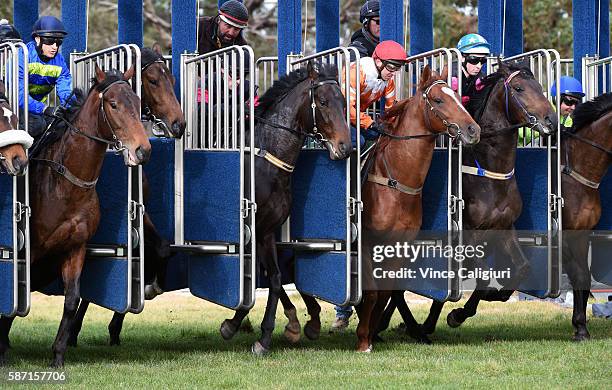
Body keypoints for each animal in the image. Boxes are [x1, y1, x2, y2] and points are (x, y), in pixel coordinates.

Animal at [0, 65, 152, 368]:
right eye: (113, 104)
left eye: (137, 102)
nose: (143, 149)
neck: (66, 185)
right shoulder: (31, 250)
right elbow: (18, 296)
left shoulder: (76, 247)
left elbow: (71, 300)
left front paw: (58, 355)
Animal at [67, 44, 186, 346]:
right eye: (153, 81)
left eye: (172, 79)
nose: (179, 124)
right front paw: (74, 329)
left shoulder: (141, 211)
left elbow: (161, 247)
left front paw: (150, 288)